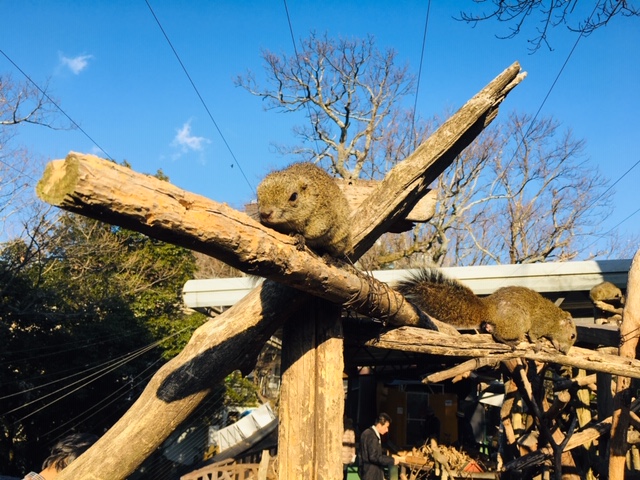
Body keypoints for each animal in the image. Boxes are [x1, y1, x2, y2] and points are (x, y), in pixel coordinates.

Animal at [398, 268, 576, 354]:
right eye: (573, 336)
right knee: (498, 334)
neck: (556, 320)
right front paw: (538, 343)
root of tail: (488, 309)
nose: (565, 352)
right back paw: (509, 342)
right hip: (519, 320)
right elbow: (533, 335)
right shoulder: (541, 323)